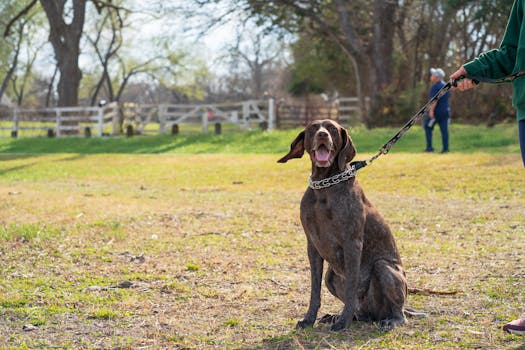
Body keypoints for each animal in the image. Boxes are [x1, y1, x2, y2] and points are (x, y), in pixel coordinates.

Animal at [276, 119, 408, 330]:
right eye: (313, 128)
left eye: (331, 128)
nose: (322, 135)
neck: (324, 186)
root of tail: (374, 315)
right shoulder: (312, 246)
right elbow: (314, 290)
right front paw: (309, 319)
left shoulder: (352, 243)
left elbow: (351, 287)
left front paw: (343, 322)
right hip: (330, 276)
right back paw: (340, 316)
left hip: (384, 267)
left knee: (397, 311)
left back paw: (389, 320)